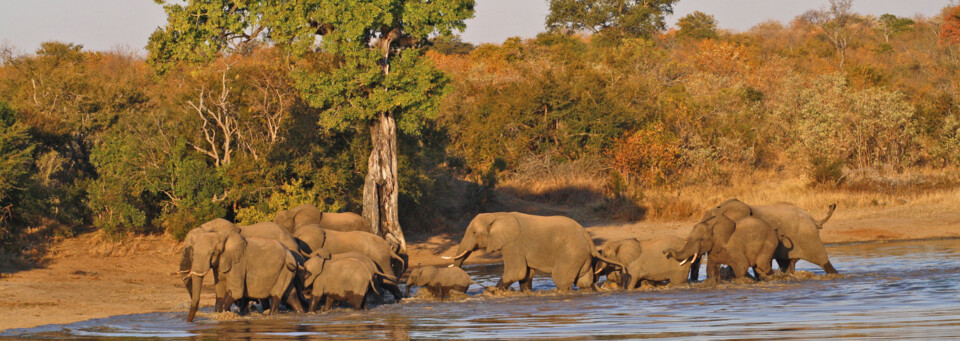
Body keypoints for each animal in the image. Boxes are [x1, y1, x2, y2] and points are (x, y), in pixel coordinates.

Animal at [448, 211, 628, 290]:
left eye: (473, 233)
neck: (496, 215)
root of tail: (589, 239)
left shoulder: (513, 243)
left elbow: (517, 271)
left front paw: (493, 292)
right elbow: (525, 274)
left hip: (571, 253)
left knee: (561, 279)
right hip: (582, 256)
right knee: (583, 281)